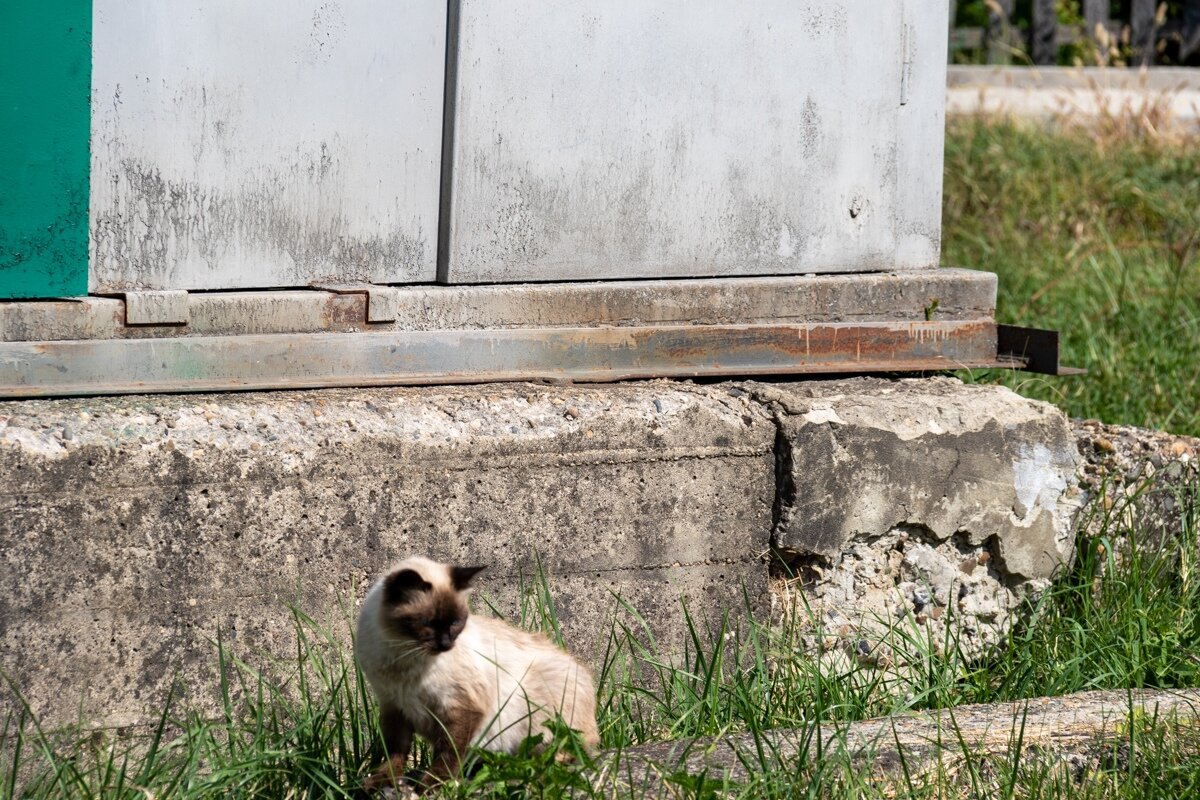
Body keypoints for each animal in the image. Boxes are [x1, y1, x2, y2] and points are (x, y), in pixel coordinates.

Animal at [352, 561, 600, 791]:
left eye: (455, 622)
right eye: (427, 623)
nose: (446, 644)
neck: (403, 656)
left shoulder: (460, 708)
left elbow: (448, 754)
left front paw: (433, 785)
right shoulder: (394, 706)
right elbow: (394, 753)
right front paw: (383, 781)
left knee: (567, 755)